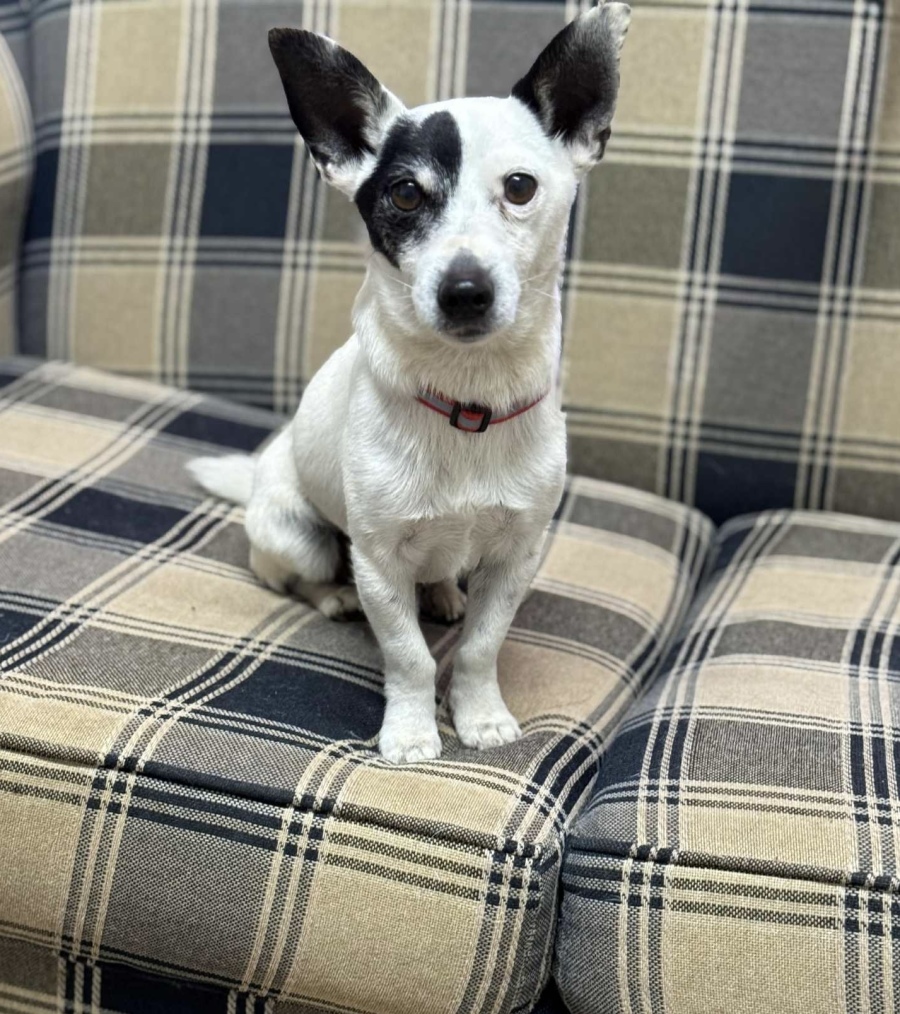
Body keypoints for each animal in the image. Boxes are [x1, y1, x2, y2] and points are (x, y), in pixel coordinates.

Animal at [188, 4, 630, 763]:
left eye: (520, 187)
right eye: (403, 193)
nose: (465, 290)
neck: (467, 398)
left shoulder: (515, 557)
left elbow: (480, 647)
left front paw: (481, 716)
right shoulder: (377, 562)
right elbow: (408, 655)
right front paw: (413, 732)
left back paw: (445, 595)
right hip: (299, 535)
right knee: (292, 574)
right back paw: (335, 599)